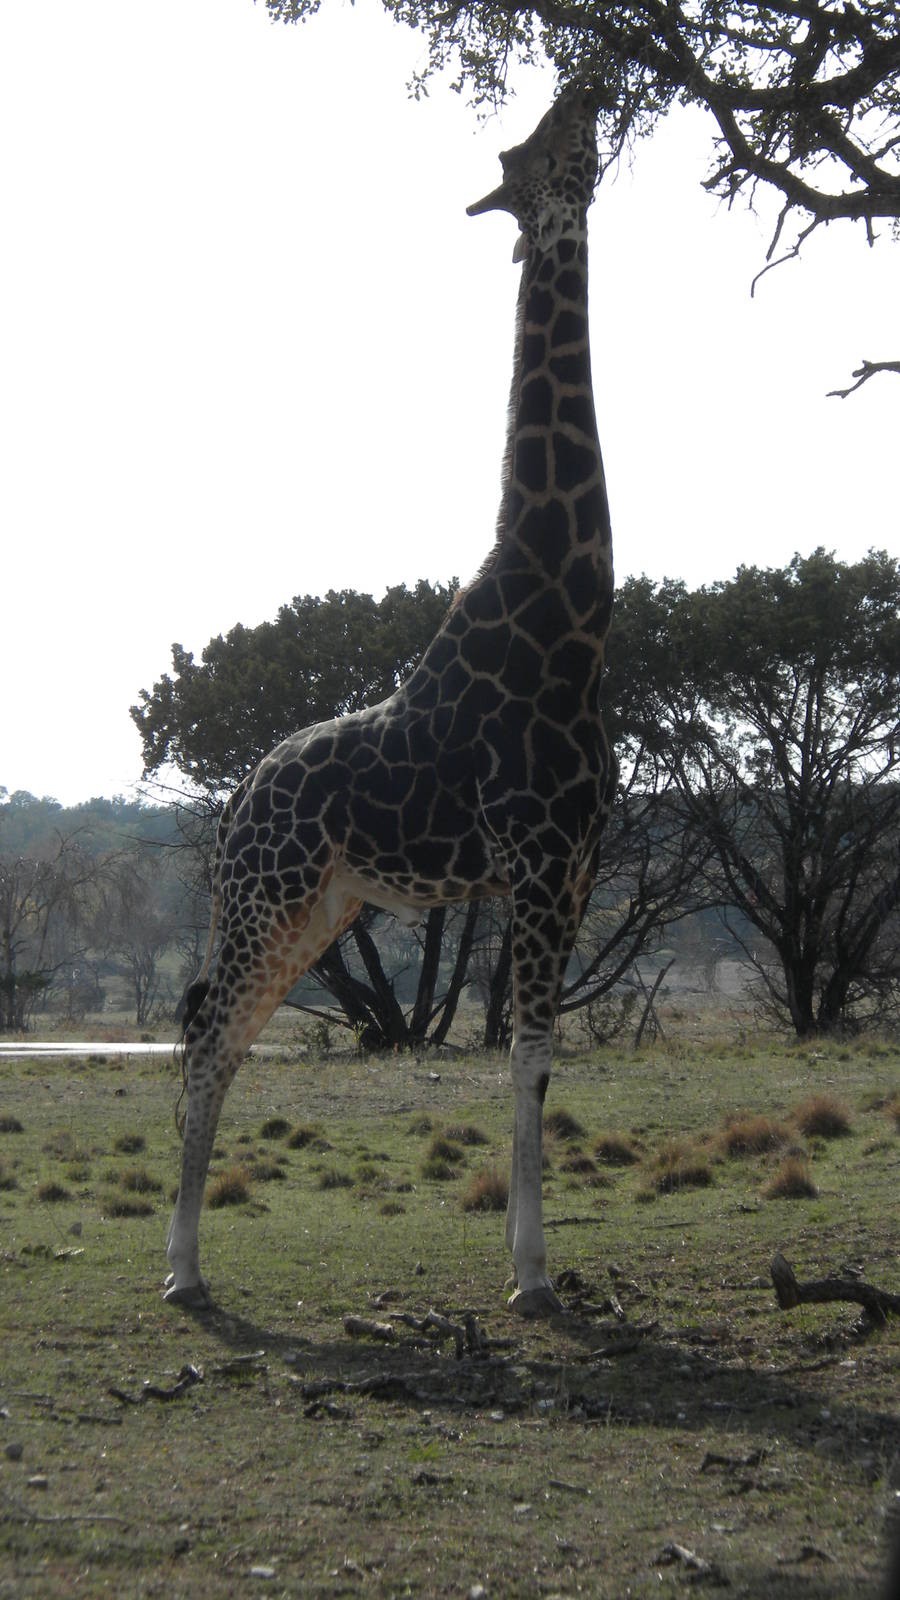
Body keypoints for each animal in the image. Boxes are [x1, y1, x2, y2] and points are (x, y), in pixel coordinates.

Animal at [165, 83, 616, 1317]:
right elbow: (525, 1055)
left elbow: (542, 1063)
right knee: (207, 1038)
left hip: (321, 905)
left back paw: (188, 1261)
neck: (568, 620)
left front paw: (530, 1266)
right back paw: (181, 1272)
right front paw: (532, 1281)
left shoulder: (575, 864)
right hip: (269, 894)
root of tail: (239, 797)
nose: (590, 84)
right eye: (531, 144)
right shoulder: (535, 864)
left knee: (219, 1034)